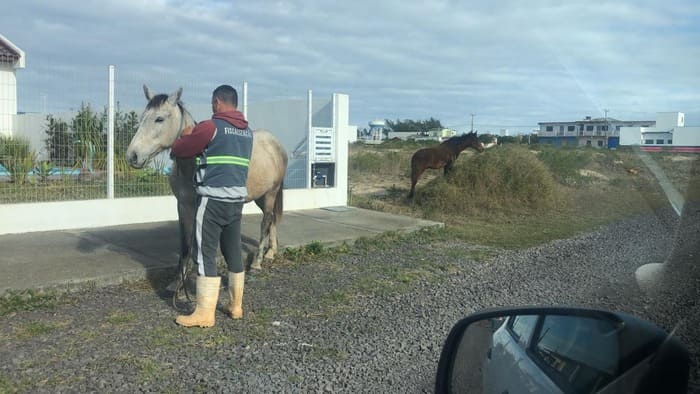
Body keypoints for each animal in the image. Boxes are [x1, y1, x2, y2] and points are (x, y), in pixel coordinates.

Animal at [126, 84, 288, 272]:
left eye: (159, 119)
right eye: (142, 117)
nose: (132, 156)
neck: (191, 166)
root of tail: (276, 144)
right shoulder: (184, 205)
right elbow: (186, 243)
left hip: (271, 193)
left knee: (266, 221)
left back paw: (257, 261)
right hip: (261, 196)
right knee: (272, 219)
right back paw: (271, 252)